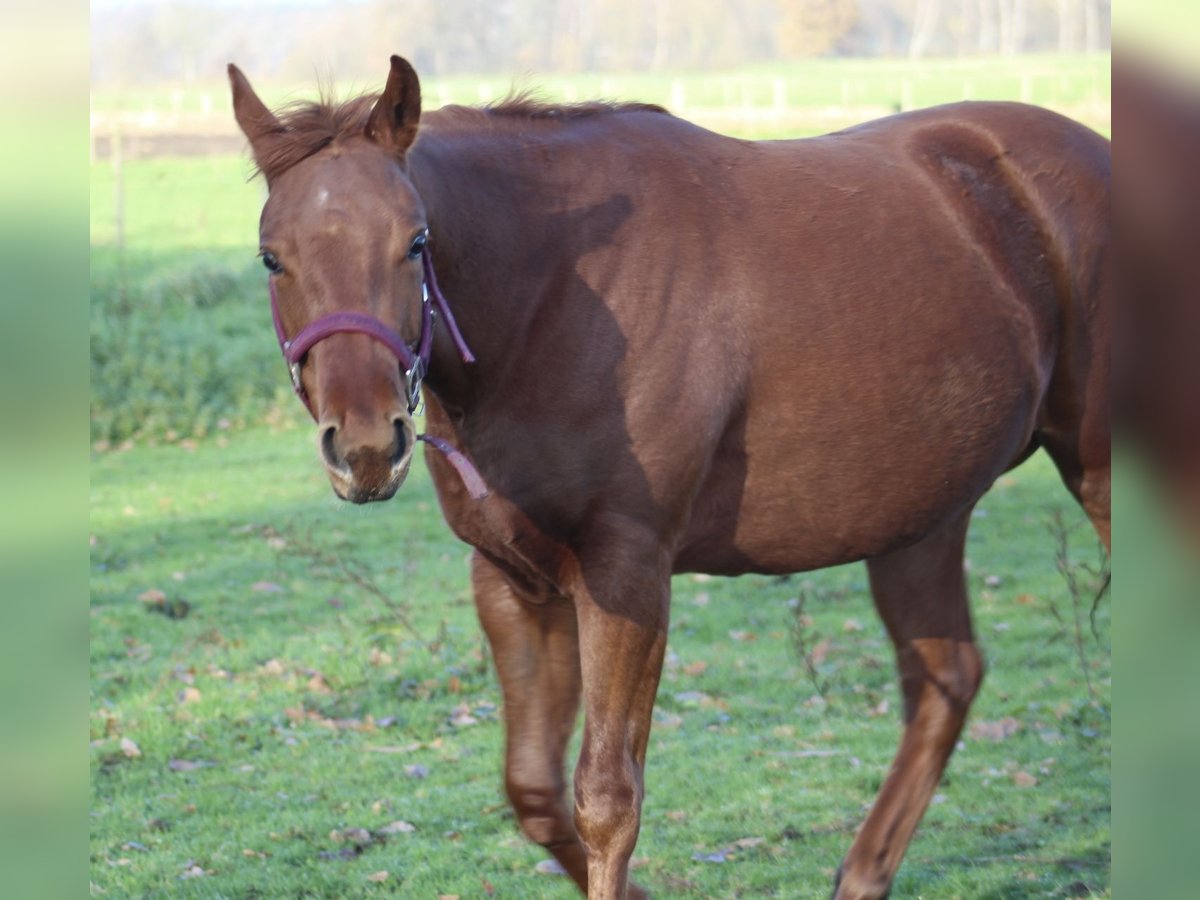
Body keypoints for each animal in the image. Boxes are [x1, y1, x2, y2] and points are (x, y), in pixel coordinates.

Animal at [229, 58, 1108, 900]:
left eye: (415, 242)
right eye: (273, 257)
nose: (367, 445)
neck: (556, 297)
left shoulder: (627, 574)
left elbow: (607, 800)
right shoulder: (514, 580)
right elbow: (534, 790)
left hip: (1093, 475)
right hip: (919, 516)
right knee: (945, 681)